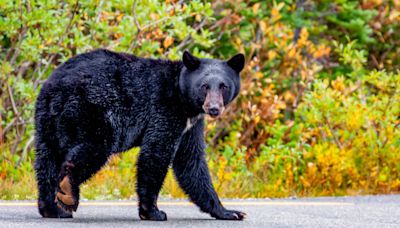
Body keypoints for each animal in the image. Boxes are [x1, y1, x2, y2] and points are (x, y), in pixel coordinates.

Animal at [34, 48, 245, 221]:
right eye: (204, 86)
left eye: (223, 86)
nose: (214, 108)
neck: (183, 99)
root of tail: (57, 86)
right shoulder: (165, 110)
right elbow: (156, 153)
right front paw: (152, 212)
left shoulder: (191, 125)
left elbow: (190, 162)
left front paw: (228, 211)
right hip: (91, 110)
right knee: (93, 148)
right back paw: (68, 191)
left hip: (46, 120)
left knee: (47, 161)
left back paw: (53, 209)